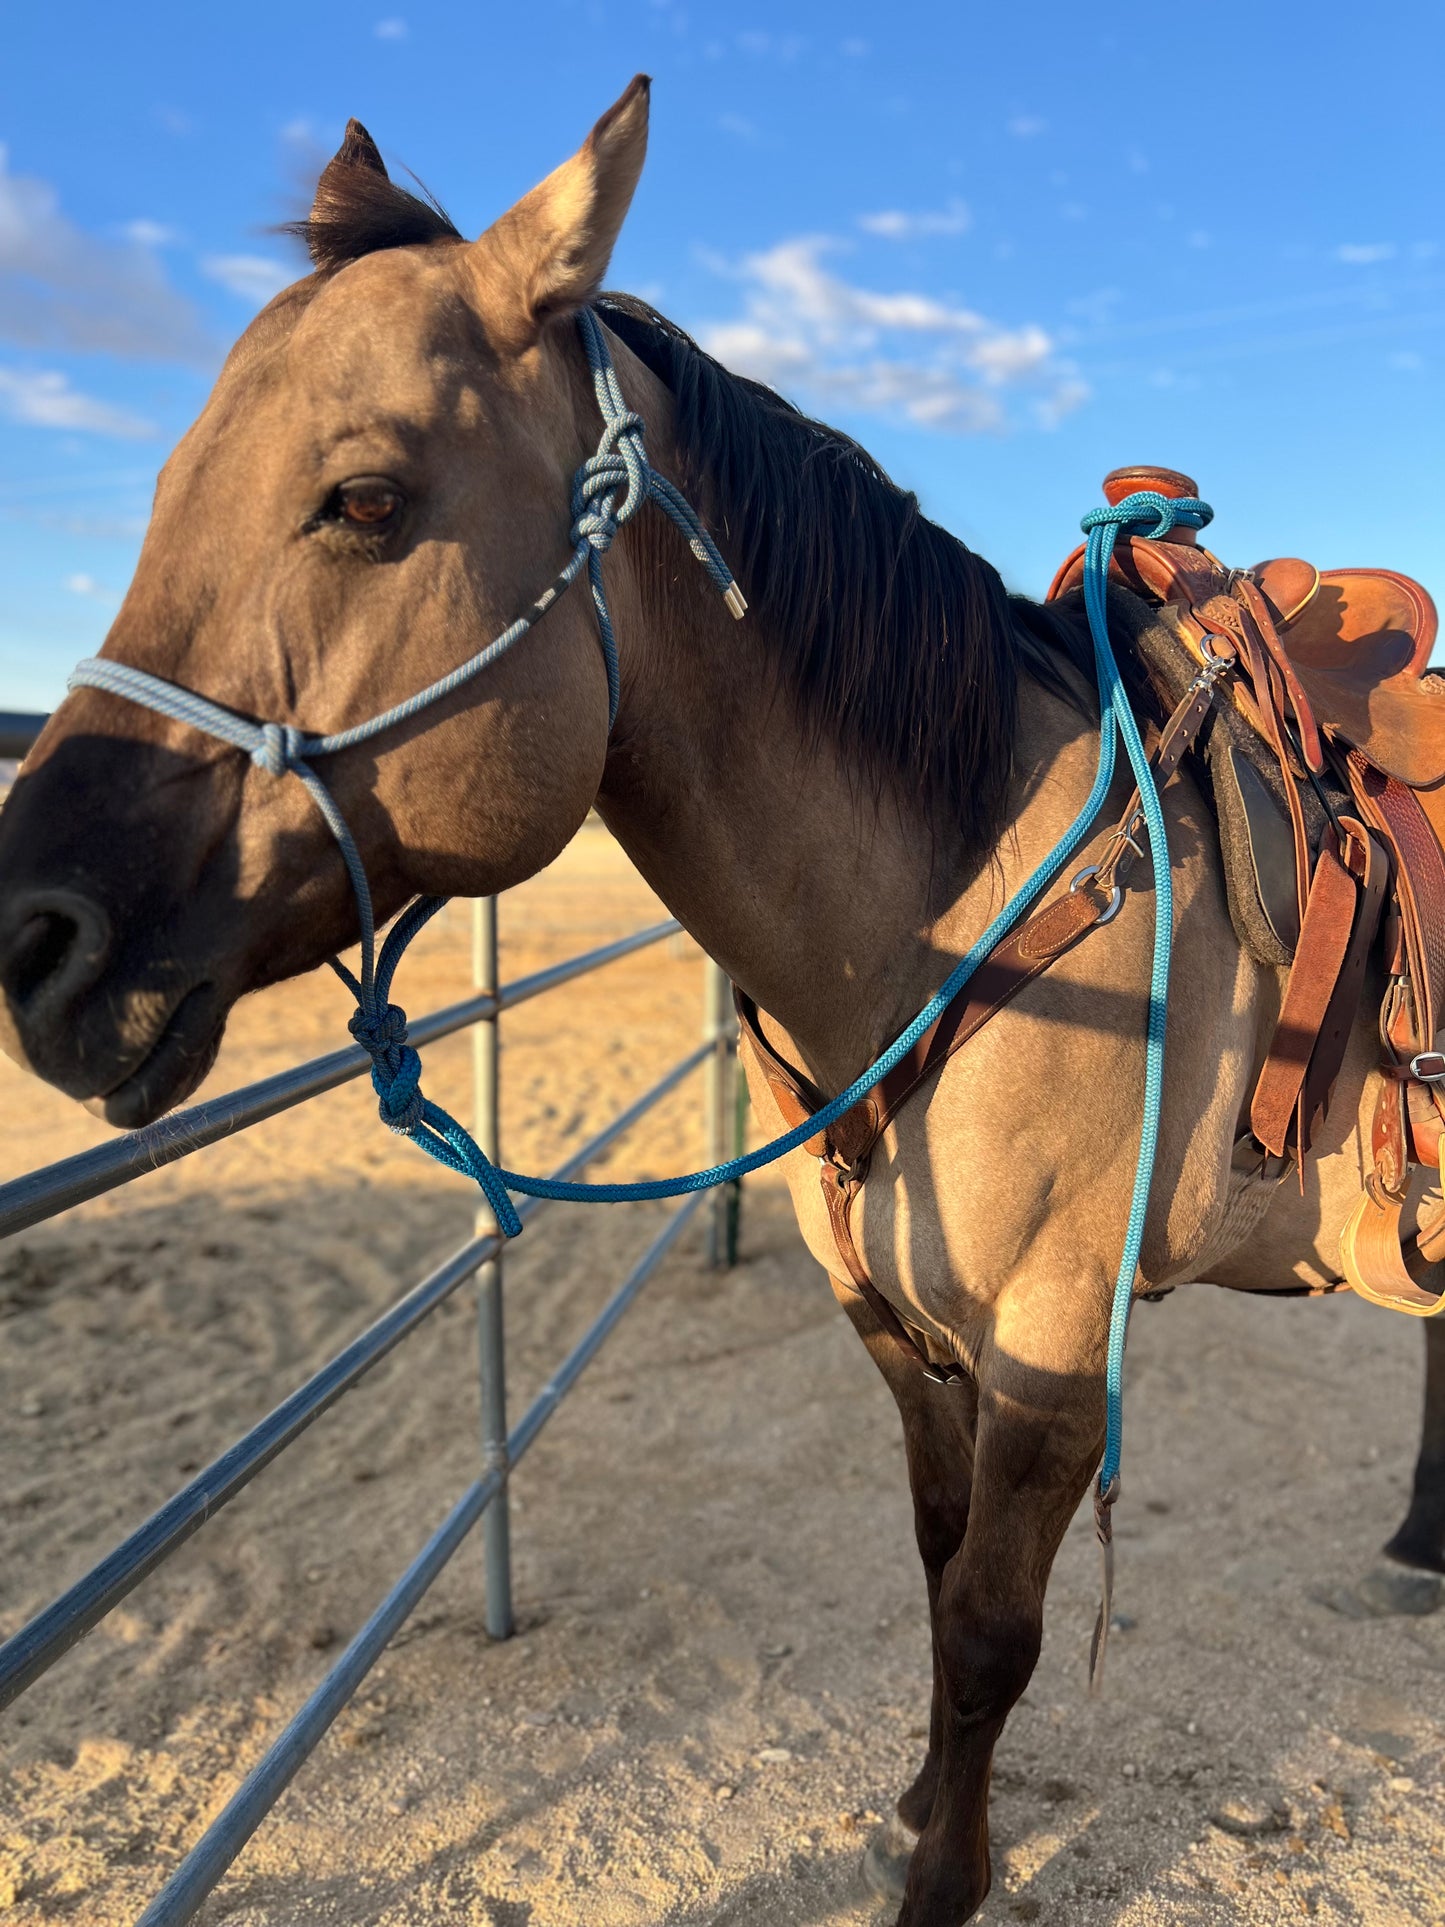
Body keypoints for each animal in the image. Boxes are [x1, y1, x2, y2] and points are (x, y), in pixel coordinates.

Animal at [0, 76, 1441, 1926]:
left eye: (367, 499)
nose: (39, 932)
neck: (970, 908)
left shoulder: (1054, 1350)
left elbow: (989, 1629)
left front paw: (941, 1877)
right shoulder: (900, 1332)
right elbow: (935, 1579)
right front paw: (919, 1811)